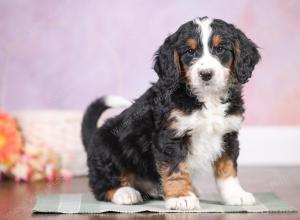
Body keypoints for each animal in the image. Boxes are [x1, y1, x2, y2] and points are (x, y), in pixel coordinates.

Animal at [81, 16, 260, 210]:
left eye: (220, 49)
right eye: (190, 51)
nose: (206, 74)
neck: (206, 98)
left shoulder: (228, 134)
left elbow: (228, 168)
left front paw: (235, 195)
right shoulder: (171, 136)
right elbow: (176, 168)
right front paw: (181, 196)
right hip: (107, 149)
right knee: (101, 186)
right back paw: (125, 193)